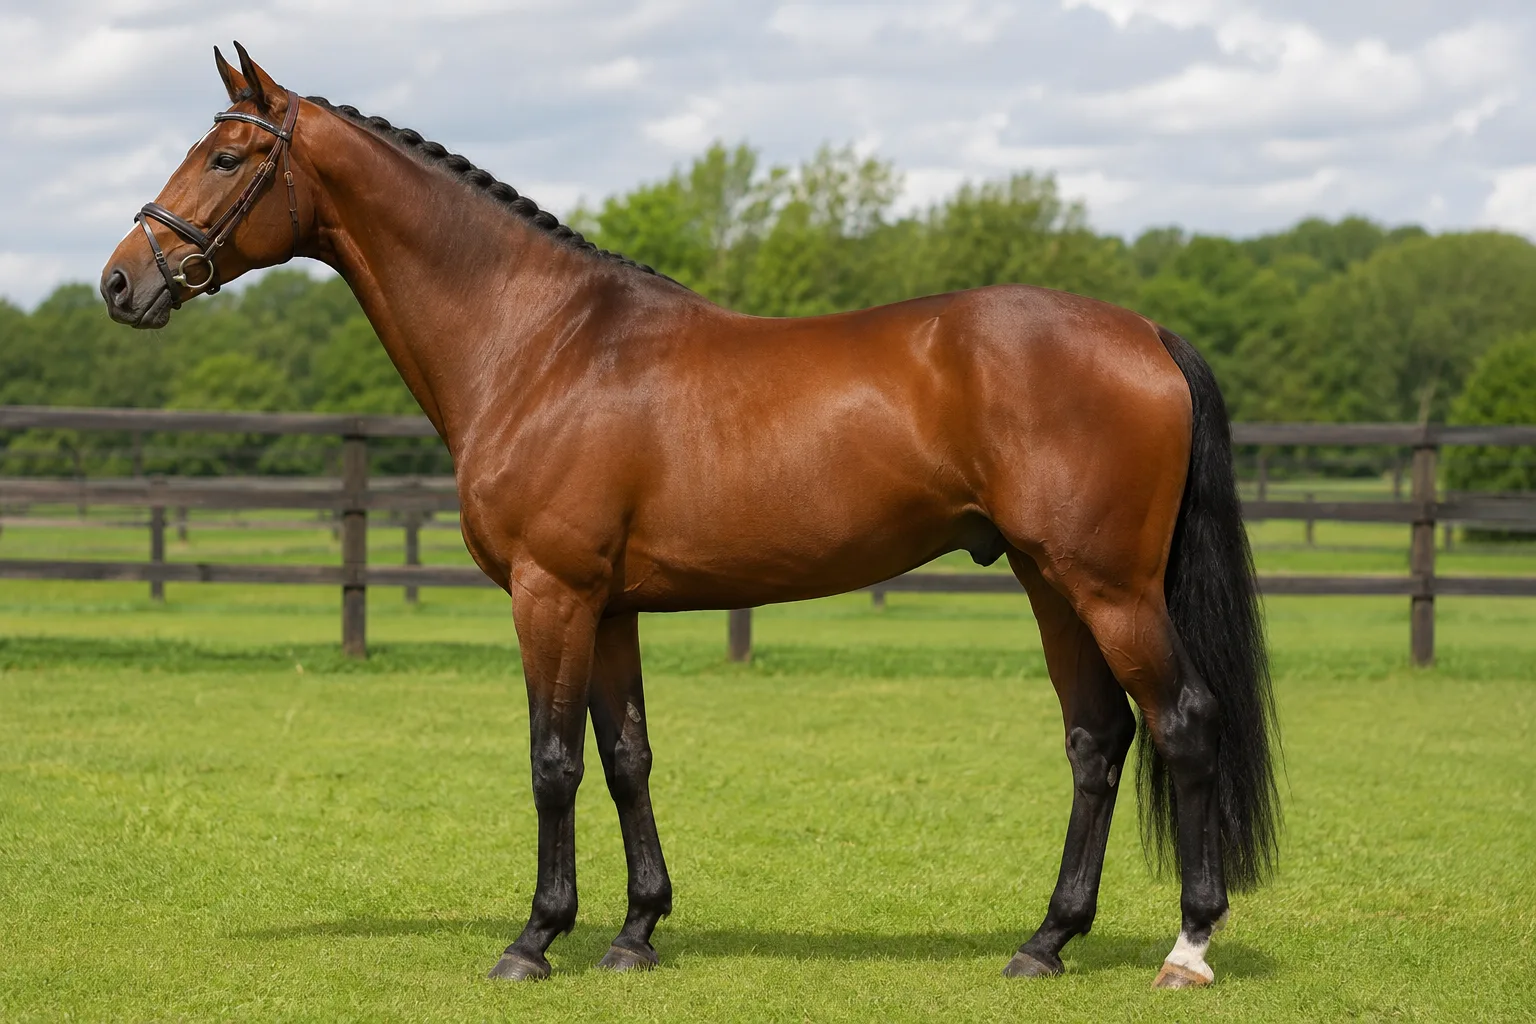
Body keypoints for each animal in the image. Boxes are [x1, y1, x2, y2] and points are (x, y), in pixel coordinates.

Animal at [101, 44, 1279, 988]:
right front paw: (636, 933)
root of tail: (1145, 332)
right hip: (1049, 580)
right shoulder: (610, 605)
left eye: (225, 158)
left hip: (1108, 585)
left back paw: (1187, 948)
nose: (120, 282)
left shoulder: (550, 593)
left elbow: (553, 761)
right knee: (1097, 740)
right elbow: (626, 757)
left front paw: (535, 939)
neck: (543, 343)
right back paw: (1045, 941)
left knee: (1183, 723)